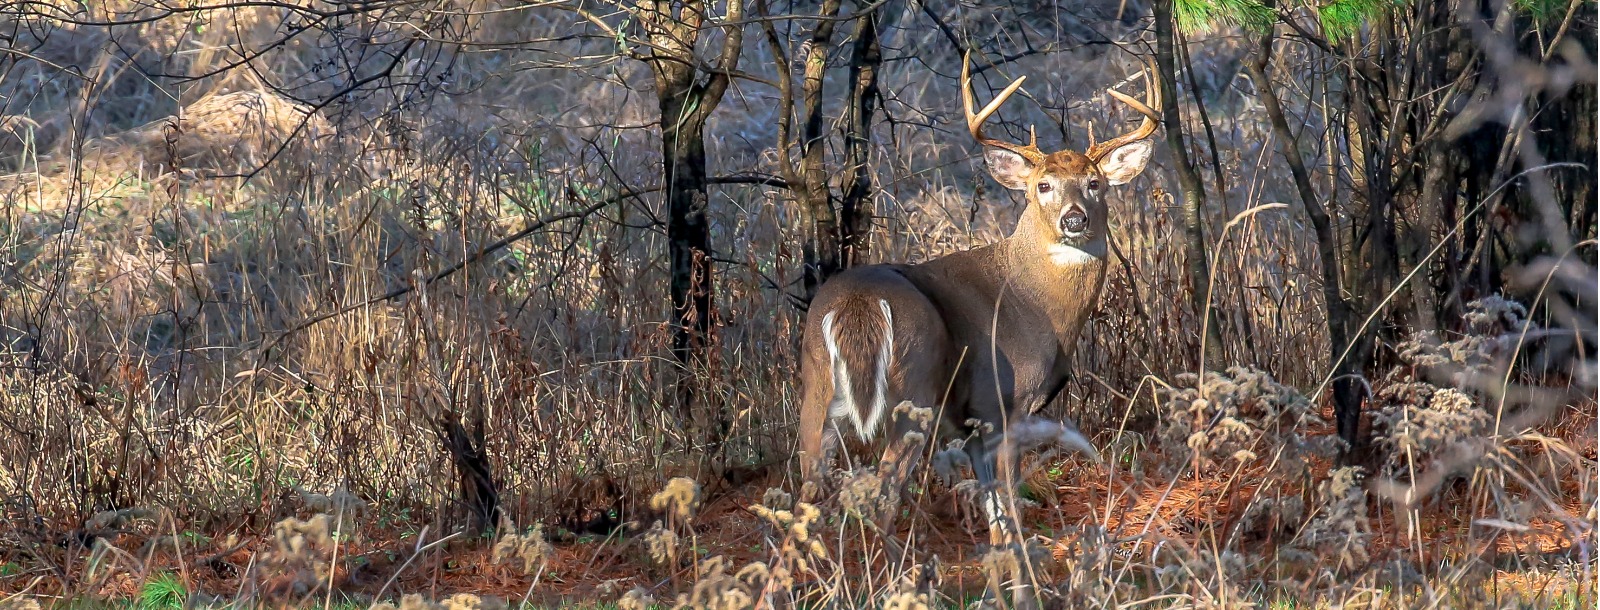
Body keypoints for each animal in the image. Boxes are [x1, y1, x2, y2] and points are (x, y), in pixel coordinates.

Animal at [800, 53, 1164, 541]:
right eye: (1043, 186)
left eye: (1094, 183)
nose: (1074, 219)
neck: (1038, 306)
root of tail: (857, 304)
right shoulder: (1003, 403)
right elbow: (1010, 508)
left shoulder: (972, 426)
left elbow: (995, 517)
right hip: (913, 390)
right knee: (883, 493)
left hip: (817, 389)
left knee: (802, 498)